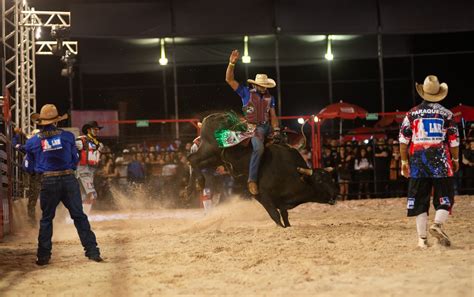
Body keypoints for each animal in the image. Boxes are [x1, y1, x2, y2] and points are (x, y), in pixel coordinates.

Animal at [185, 111, 336, 227]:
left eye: (330, 179)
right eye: (319, 180)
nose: (335, 196)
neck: (292, 173)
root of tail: (213, 117)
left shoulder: (282, 202)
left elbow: (285, 217)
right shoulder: (263, 196)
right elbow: (275, 216)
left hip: (214, 159)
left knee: (195, 162)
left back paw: (190, 189)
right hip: (208, 150)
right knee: (192, 159)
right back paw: (198, 183)